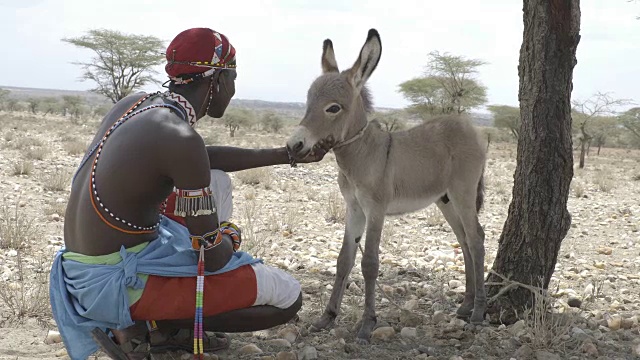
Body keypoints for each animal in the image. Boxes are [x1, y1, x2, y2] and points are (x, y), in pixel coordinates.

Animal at [288, 28, 488, 344]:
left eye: (333, 108)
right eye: (307, 101)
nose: (293, 146)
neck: (362, 153)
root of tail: (472, 129)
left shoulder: (376, 210)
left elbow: (369, 263)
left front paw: (367, 325)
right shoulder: (354, 208)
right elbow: (344, 260)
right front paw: (326, 318)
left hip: (463, 193)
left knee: (477, 239)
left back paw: (478, 312)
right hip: (445, 200)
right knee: (465, 240)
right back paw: (465, 306)